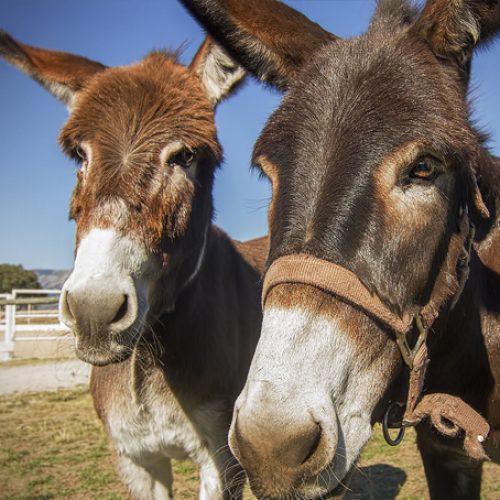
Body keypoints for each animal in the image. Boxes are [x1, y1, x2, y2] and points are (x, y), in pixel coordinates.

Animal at [0, 31, 267, 499]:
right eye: (81, 157)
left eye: (184, 157)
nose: (93, 310)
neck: (145, 357)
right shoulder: (136, 460)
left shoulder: (223, 461)